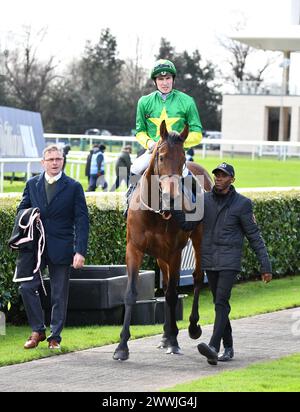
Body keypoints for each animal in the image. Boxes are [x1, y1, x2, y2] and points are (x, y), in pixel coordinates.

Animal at [112, 120, 213, 360]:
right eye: (161, 156)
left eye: (183, 158)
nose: (171, 196)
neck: (157, 211)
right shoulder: (134, 249)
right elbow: (131, 293)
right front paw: (122, 346)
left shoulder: (175, 251)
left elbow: (173, 294)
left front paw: (175, 341)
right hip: (160, 255)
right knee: (167, 284)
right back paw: (166, 336)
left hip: (198, 239)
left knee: (196, 278)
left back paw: (190, 328)